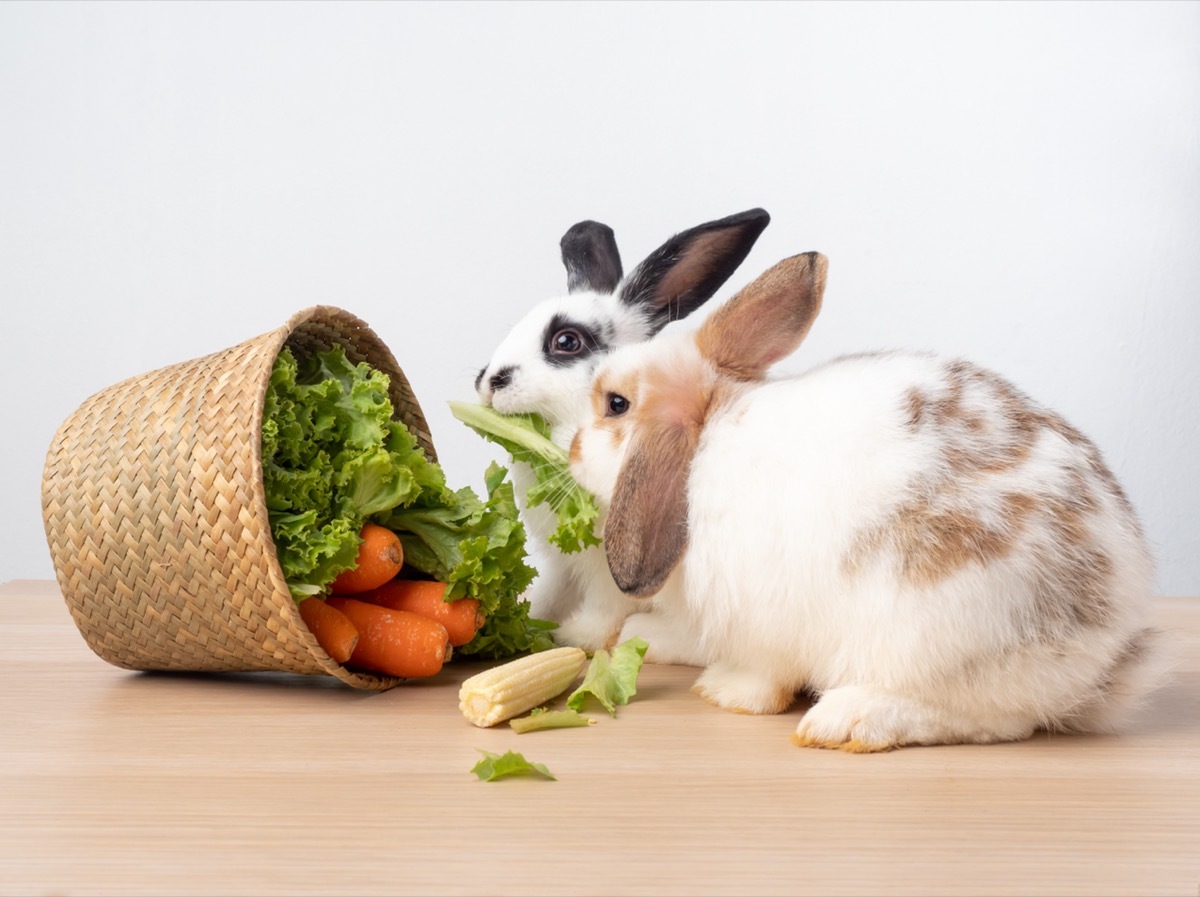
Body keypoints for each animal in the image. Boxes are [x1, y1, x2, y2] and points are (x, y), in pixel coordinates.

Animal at [475, 208, 768, 652]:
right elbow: (551, 592)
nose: (490, 382)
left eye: (567, 341)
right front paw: (532, 620)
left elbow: (604, 607)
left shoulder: (610, 566)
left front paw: (578, 637)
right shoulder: (563, 560)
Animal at [566, 250, 1166, 748]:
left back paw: (849, 720)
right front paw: (645, 635)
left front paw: (726, 691)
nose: (570, 450)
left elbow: (763, 677)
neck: (705, 439)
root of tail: (1109, 650)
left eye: (615, 405)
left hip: (935, 630)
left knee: (994, 719)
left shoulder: (762, 616)